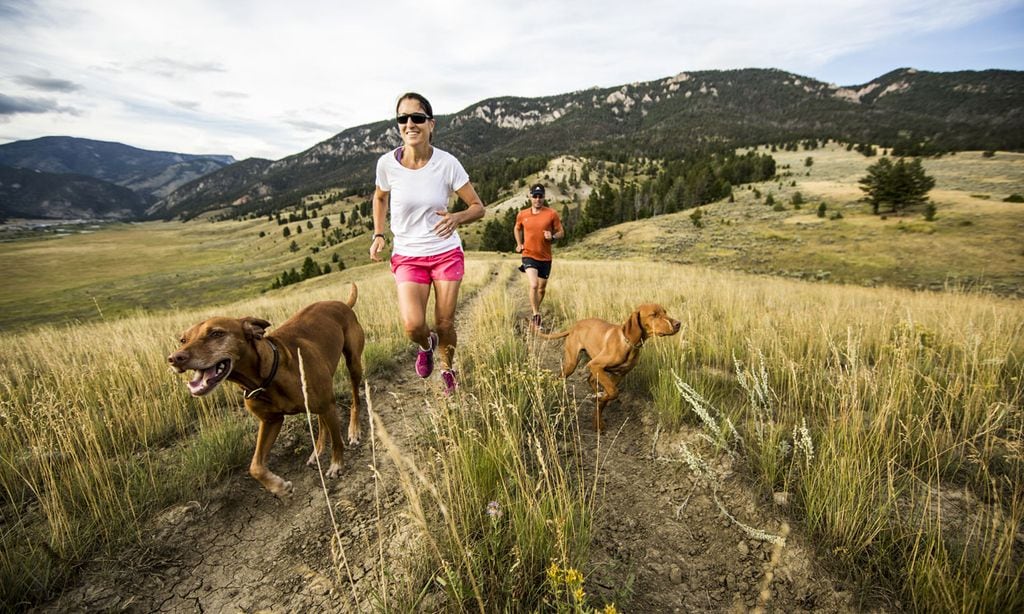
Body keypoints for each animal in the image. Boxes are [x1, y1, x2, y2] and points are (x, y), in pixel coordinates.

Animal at [165, 284, 362, 497]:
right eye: (182, 340)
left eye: (216, 334)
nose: (174, 358)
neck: (265, 378)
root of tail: (342, 304)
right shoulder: (270, 421)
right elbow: (255, 467)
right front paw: (278, 486)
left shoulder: (327, 406)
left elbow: (337, 441)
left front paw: (337, 465)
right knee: (320, 420)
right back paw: (316, 450)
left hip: (353, 364)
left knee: (355, 399)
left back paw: (354, 430)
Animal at [544, 302, 679, 429]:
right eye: (654, 315)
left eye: (665, 312)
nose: (678, 324)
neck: (628, 343)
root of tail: (574, 326)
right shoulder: (595, 365)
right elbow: (613, 392)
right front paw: (601, 402)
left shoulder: (618, 374)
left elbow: (608, 395)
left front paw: (598, 420)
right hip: (573, 363)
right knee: (559, 377)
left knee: (590, 379)